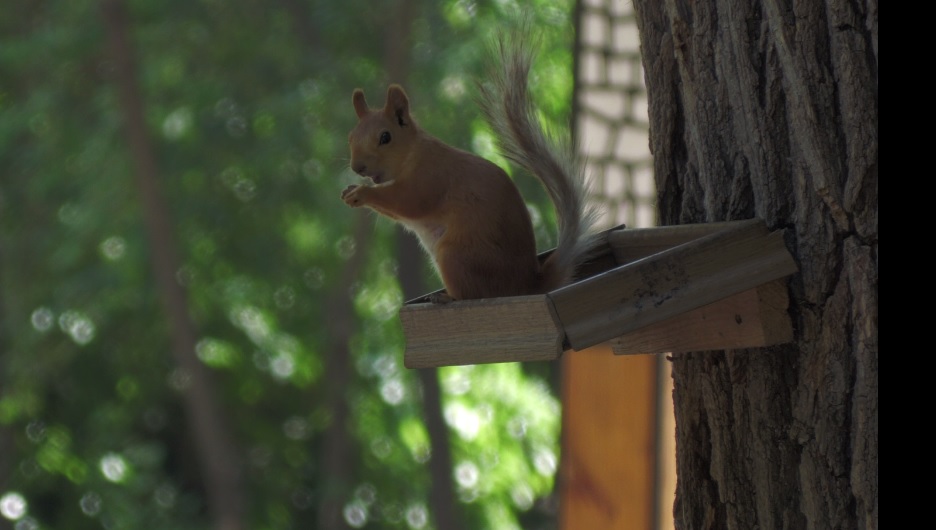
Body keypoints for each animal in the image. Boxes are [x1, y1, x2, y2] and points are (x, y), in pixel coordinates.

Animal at [342, 36, 600, 302]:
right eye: (351, 137)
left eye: (386, 137)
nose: (357, 167)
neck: (412, 153)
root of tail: (525, 287)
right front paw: (350, 191)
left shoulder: (431, 177)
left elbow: (408, 202)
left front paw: (362, 193)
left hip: (454, 255)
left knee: (472, 293)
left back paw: (447, 298)